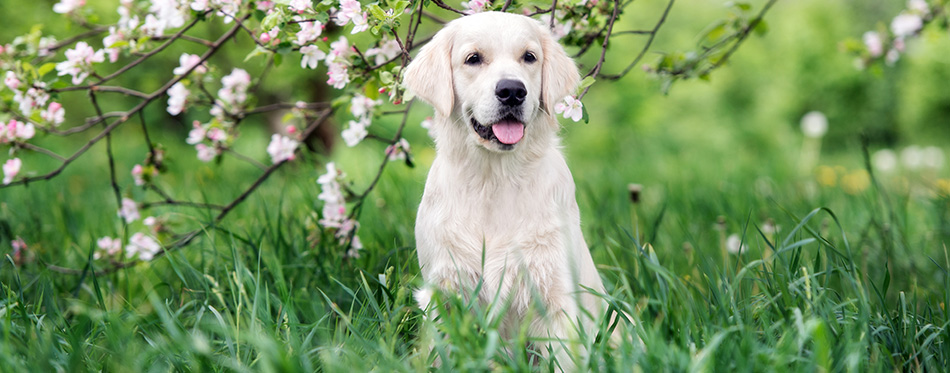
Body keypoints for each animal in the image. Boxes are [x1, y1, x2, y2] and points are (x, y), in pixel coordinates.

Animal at [402, 10, 608, 364]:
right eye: (473, 58)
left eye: (529, 57)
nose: (512, 91)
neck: (495, 180)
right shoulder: (446, 291)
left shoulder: (556, 297)